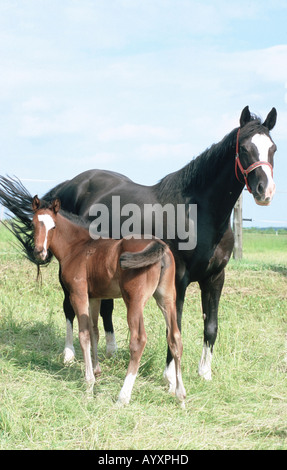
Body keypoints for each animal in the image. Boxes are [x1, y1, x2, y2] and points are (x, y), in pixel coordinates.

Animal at [31, 195, 187, 404]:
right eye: (33, 224)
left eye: (53, 226)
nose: (39, 252)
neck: (78, 247)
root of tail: (159, 246)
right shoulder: (95, 297)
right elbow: (95, 332)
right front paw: (97, 371)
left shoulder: (78, 294)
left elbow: (84, 335)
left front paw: (89, 384)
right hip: (166, 298)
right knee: (175, 338)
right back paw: (180, 396)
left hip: (134, 301)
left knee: (138, 340)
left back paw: (123, 396)